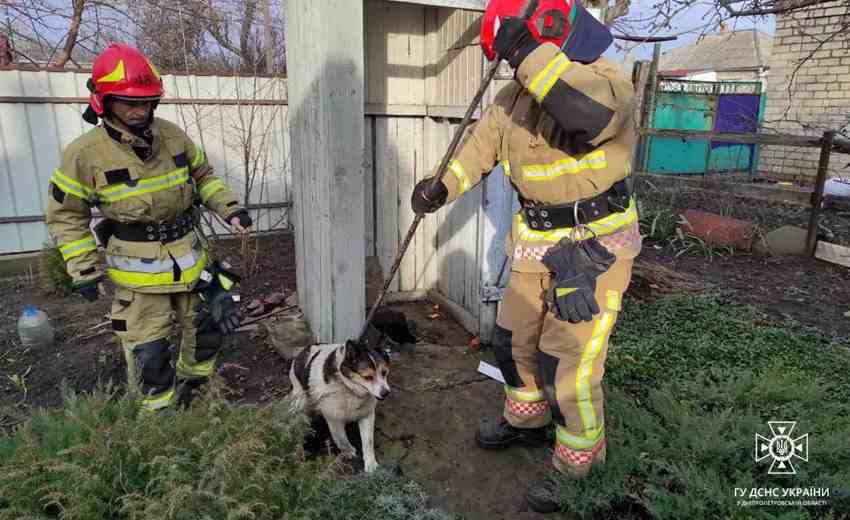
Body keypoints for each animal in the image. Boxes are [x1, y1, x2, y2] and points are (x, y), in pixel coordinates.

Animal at [286, 340, 390, 474]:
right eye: (368, 377)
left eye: (384, 372)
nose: (386, 393)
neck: (349, 388)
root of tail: (301, 352)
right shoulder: (333, 417)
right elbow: (341, 438)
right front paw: (349, 451)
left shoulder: (367, 414)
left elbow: (368, 441)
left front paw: (370, 463)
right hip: (301, 400)